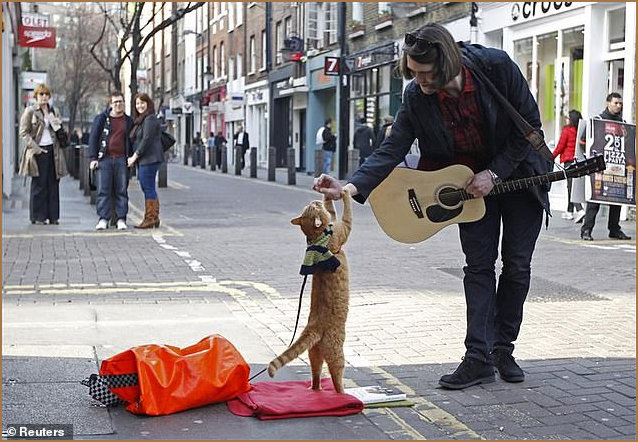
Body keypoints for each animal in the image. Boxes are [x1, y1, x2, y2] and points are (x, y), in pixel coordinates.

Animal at [268, 190, 352, 394]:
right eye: (314, 207)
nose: (315, 200)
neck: (318, 238)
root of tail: (314, 326)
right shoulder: (344, 228)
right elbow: (347, 212)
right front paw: (345, 192)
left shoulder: (334, 221)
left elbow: (332, 209)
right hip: (336, 353)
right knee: (336, 377)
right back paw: (343, 393)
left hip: (314, 353)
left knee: (315, 373)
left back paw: (316, 389)